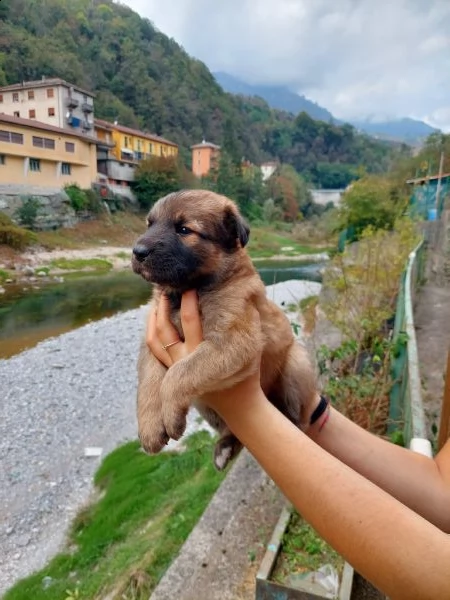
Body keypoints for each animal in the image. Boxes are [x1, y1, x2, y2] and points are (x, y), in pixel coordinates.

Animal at [132, 190, 318, 472]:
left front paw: (170, 414)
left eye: (184, 229)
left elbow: (179, 371)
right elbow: (150, 381)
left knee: (297, 415)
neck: (187, 291)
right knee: (236, 431)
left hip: (295, 364)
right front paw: (151, 427)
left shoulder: (234, 339)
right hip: (205, 404)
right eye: (149, 224)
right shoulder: (153, 338)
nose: (137, 252)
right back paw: (225, 447)